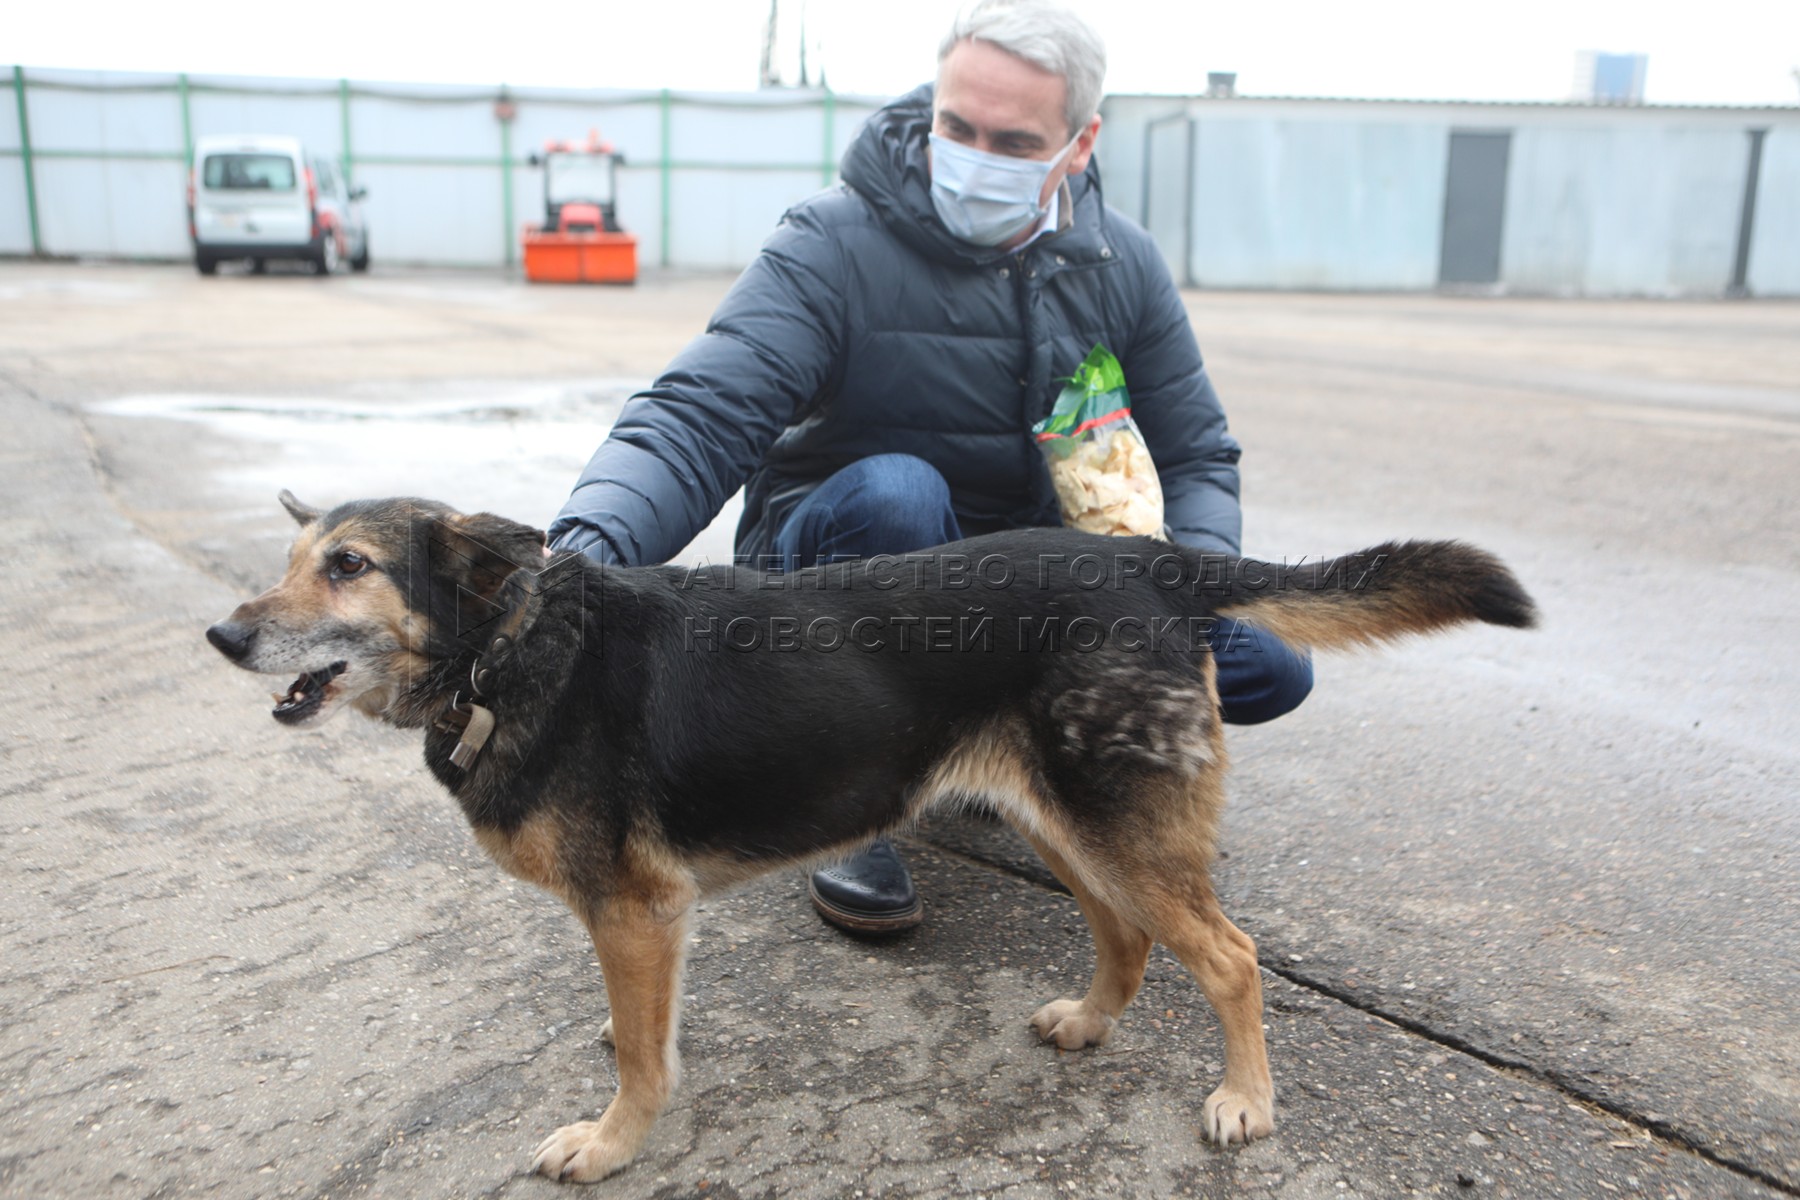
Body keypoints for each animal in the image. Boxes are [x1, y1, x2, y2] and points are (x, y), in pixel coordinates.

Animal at [207, 489, 1533, 1180]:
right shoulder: (642, 926)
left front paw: (615, 1143)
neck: (504, 650)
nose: (223, 637)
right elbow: (643, 1026)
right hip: (1064, 822)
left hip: (1116, 826)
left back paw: (1246, 1102)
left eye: (349, 565)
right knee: (1131, 937)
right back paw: (1089, 1022)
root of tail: (1159, 565)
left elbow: (642, 1057)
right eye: (291, 560)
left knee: (1231, 956)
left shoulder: (637, 911)